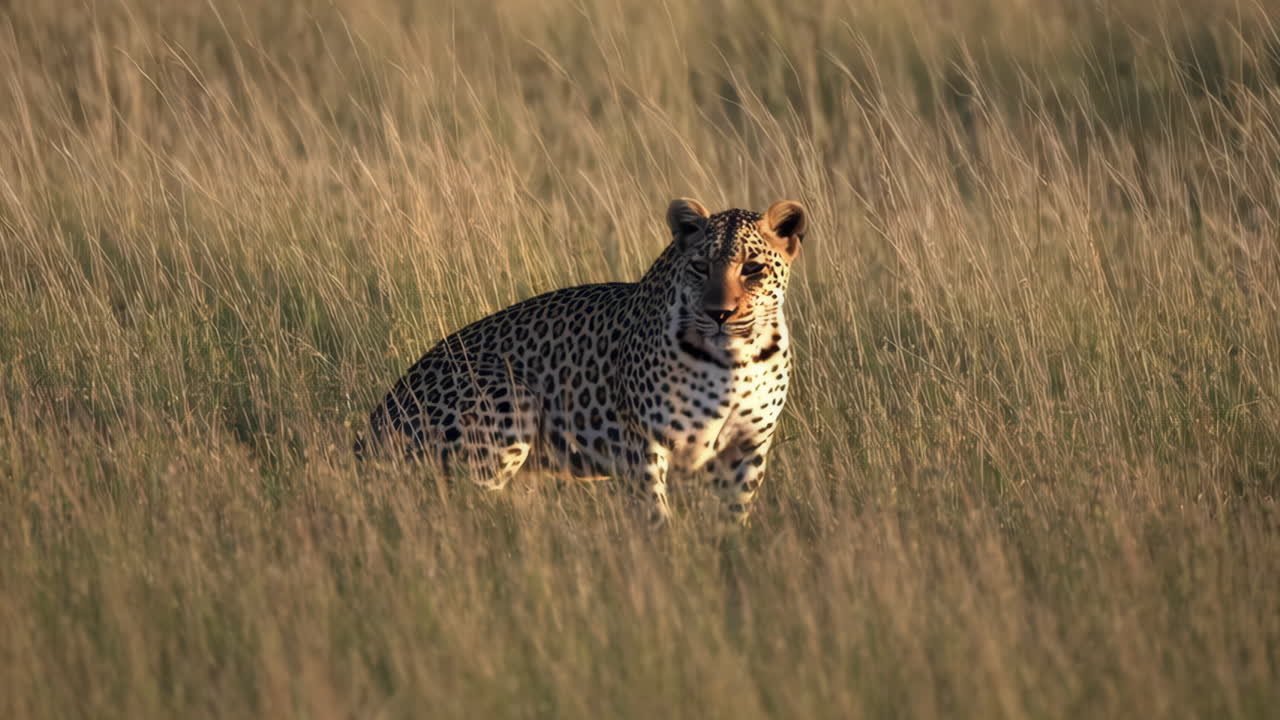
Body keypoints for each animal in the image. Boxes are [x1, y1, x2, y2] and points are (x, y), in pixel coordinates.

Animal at [357, 198, 808, 528]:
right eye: (700, 267)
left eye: (752, 269)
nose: (720, 314)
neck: (736, 360)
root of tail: (369, 430)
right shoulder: (643, 442)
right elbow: (655, 516)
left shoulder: (747, 449)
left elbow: (732, 519)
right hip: (508, 397)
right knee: (462, 505)